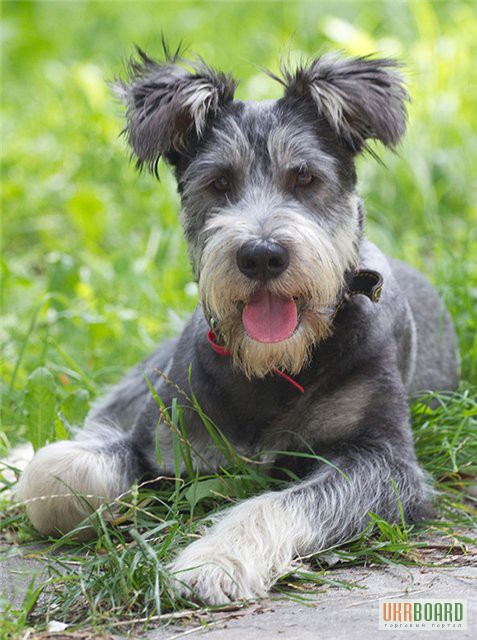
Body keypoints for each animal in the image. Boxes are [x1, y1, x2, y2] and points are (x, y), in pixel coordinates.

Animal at [17, 47, 458, 604]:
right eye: (219, 182)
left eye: (305, 178)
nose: (262, 255)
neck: (274, 369)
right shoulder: (162, 436)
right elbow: (58, 473)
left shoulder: (384, 462)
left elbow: (279, 501)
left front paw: (216, 559)